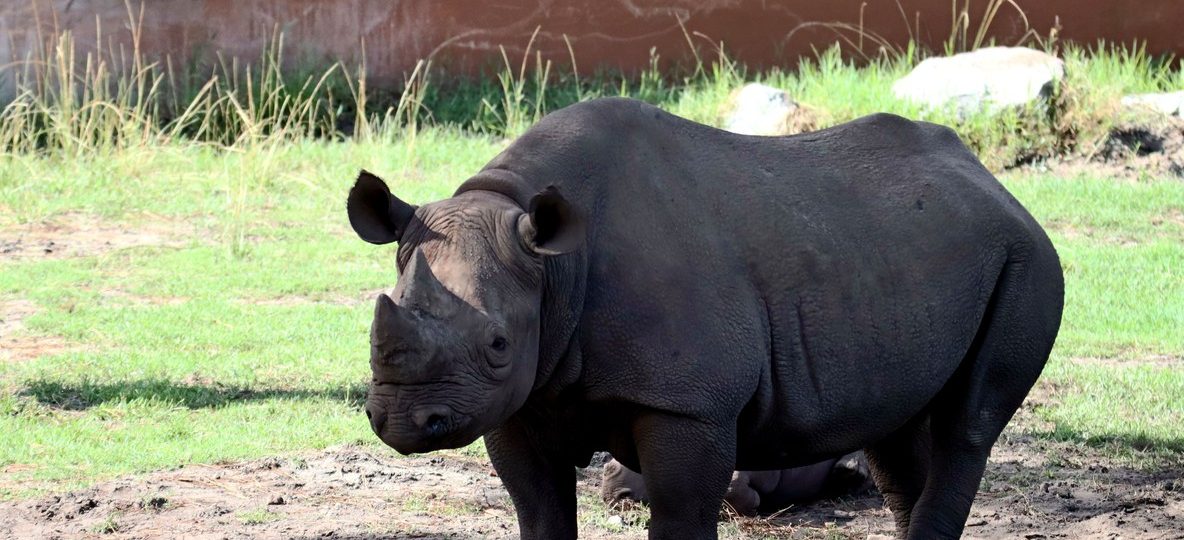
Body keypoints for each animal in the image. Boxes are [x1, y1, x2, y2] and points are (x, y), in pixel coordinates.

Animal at [348, 98, 1063, 539]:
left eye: (498, 344)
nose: (405, 422)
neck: (553, 267)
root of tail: (995, 182)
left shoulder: (691, 405)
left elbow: (681, 513)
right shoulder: (525, 397)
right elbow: (539, 511)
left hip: (1027, 257)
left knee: (967, 426)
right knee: (896, 433)